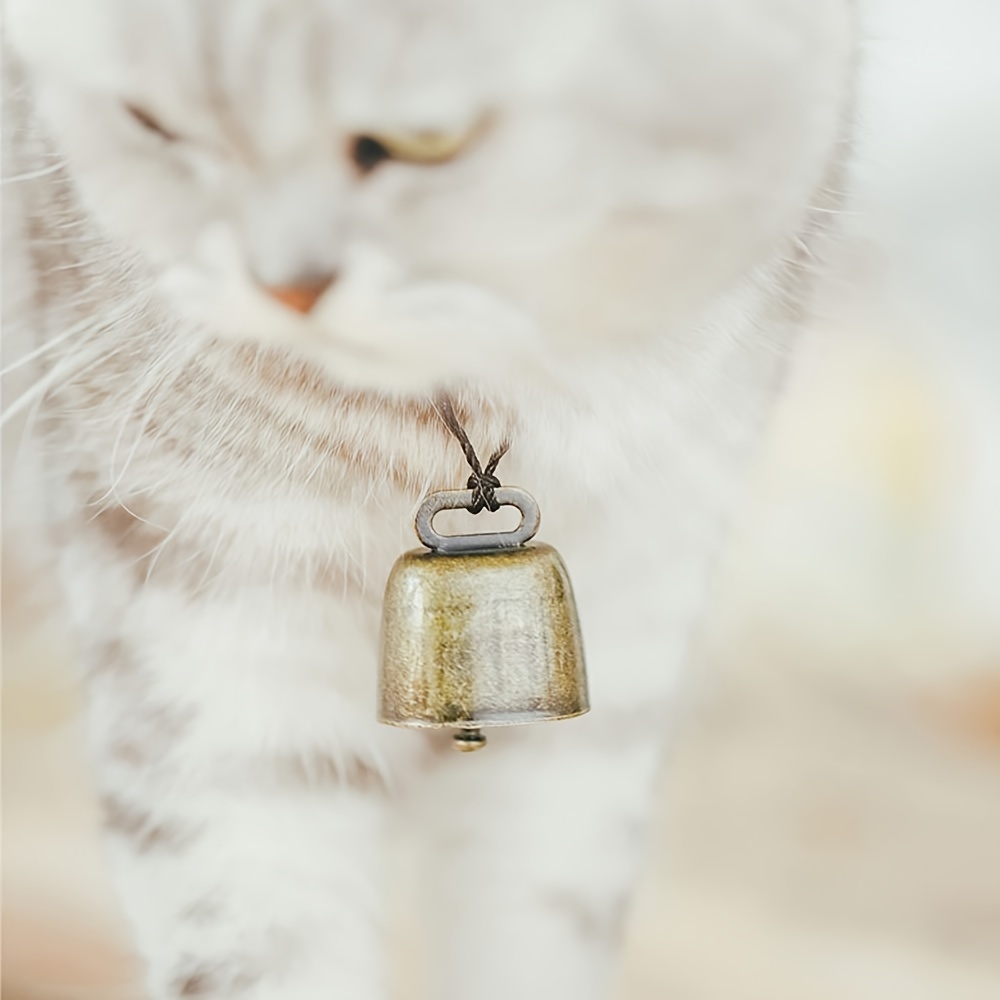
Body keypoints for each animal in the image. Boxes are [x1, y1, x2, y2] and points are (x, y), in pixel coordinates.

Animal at [3, 1, 856, 1000]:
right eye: (156, 126)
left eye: (426, 139)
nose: (286, 286)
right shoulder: (200, 633)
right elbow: (256, 936)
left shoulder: (632, 633)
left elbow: (537, 932)